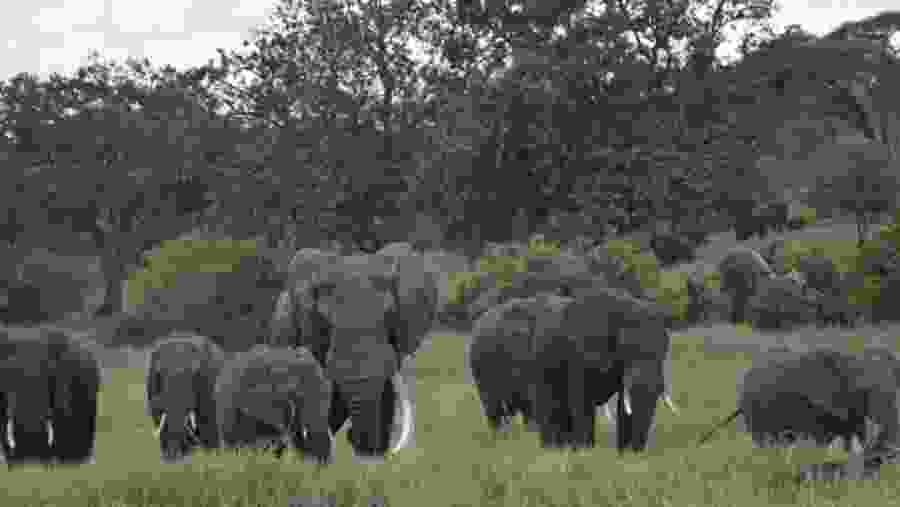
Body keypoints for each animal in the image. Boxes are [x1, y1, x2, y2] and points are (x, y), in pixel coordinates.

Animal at [146, 331, 226, 463]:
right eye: (158, 373)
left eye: (196, 374)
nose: (172, 457)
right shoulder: (152, 387)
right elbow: (159, 417)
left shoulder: (207, 384)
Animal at [698, 346, 900, 473]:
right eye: (863, 390)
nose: (888, 455)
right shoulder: (815, 406)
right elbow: (823, 439)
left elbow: (853, 434)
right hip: (755, 413)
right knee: (766, 442)